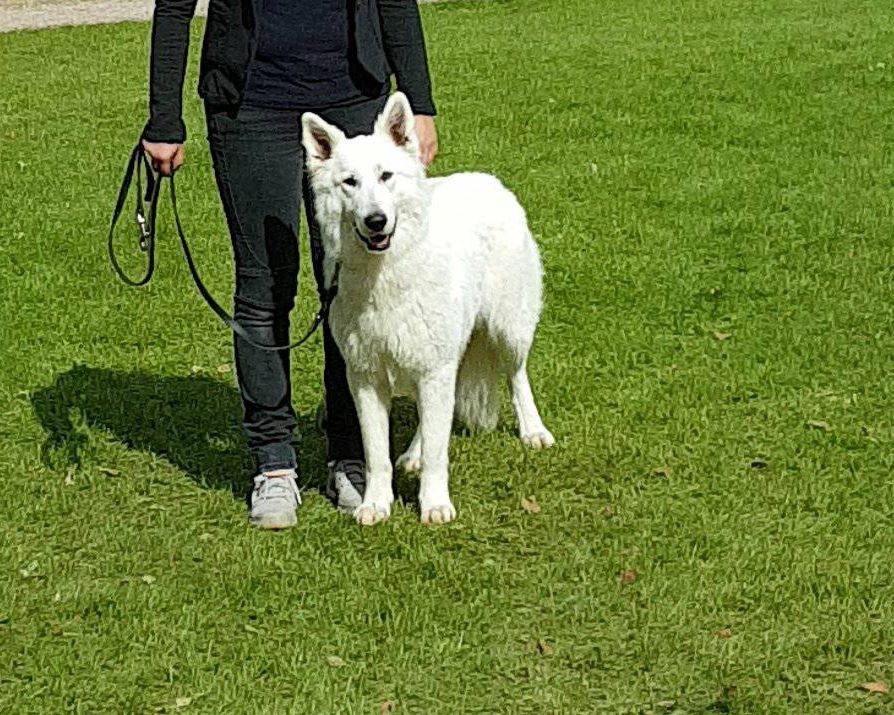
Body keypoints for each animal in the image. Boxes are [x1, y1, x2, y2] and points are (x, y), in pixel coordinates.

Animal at [302, 93, 552, 524]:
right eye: (350, 182)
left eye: (386, 176)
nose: (375, 221)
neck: (385, 273)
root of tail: (490, 181)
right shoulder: (367, 377)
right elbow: (377, 455)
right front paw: (375, 504)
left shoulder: (434, 367)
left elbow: (439, 451)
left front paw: (434, 504)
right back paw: (413, 454)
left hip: (507, 330)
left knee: (517, 377)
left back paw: (533, 431)